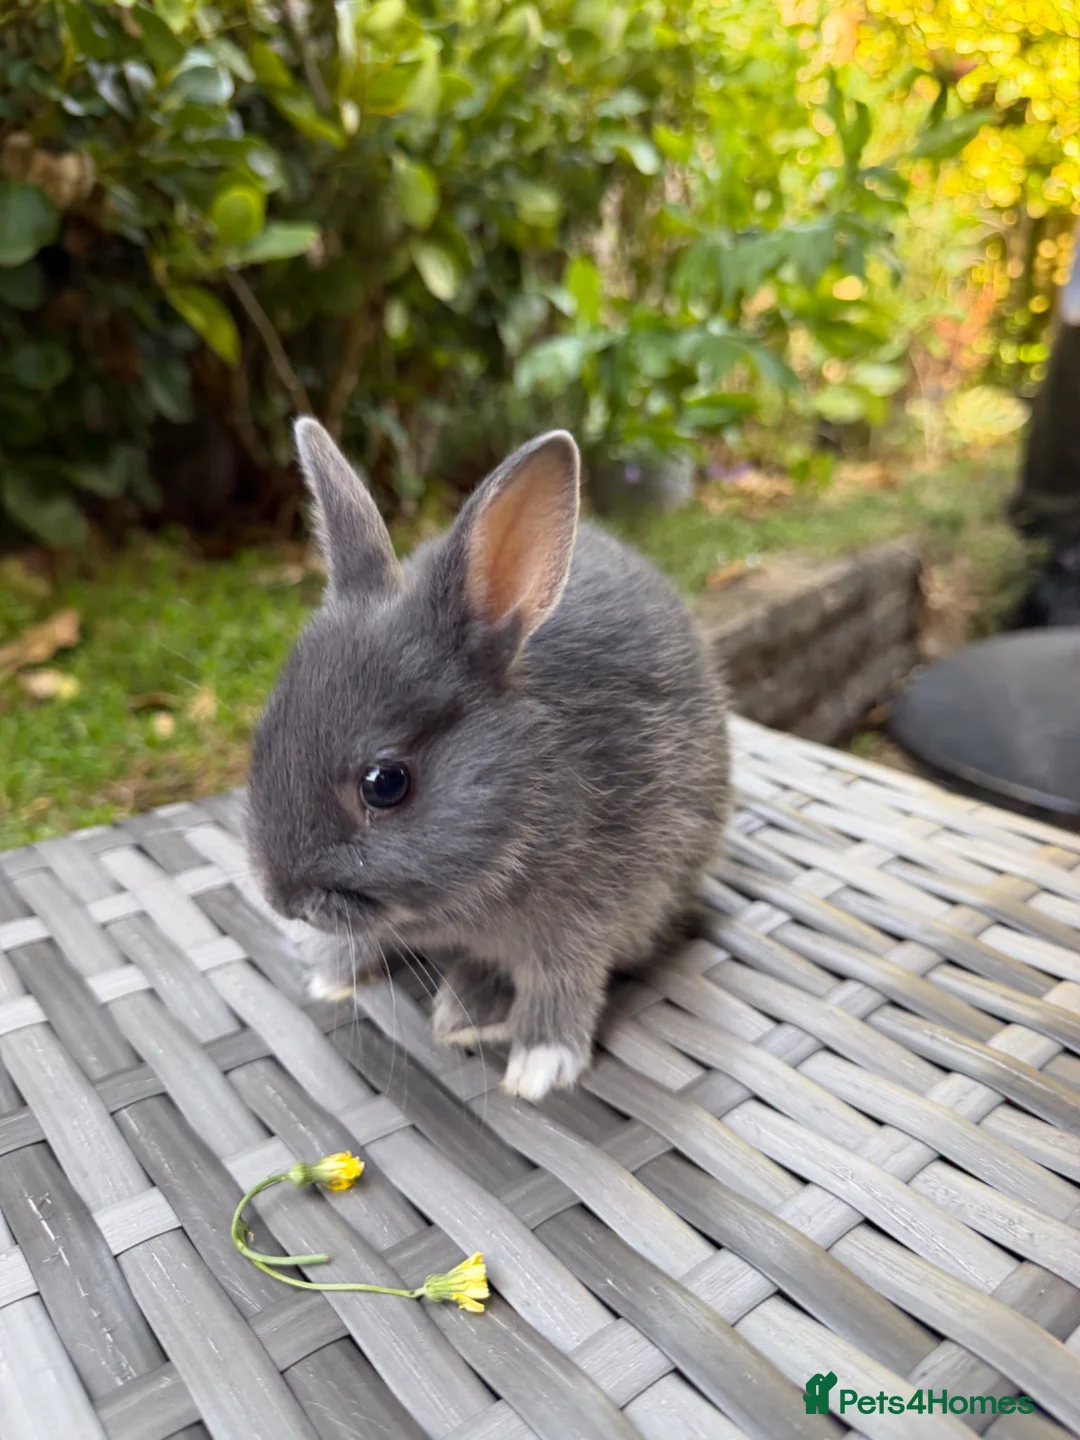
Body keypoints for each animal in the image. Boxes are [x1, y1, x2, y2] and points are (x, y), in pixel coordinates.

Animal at [246, 417, 730, 1101]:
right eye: (265, 733)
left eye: (384, 783)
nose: (282, 900)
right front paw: (331, 978)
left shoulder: (591, 912)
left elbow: (564, 979)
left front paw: (540, 1066)